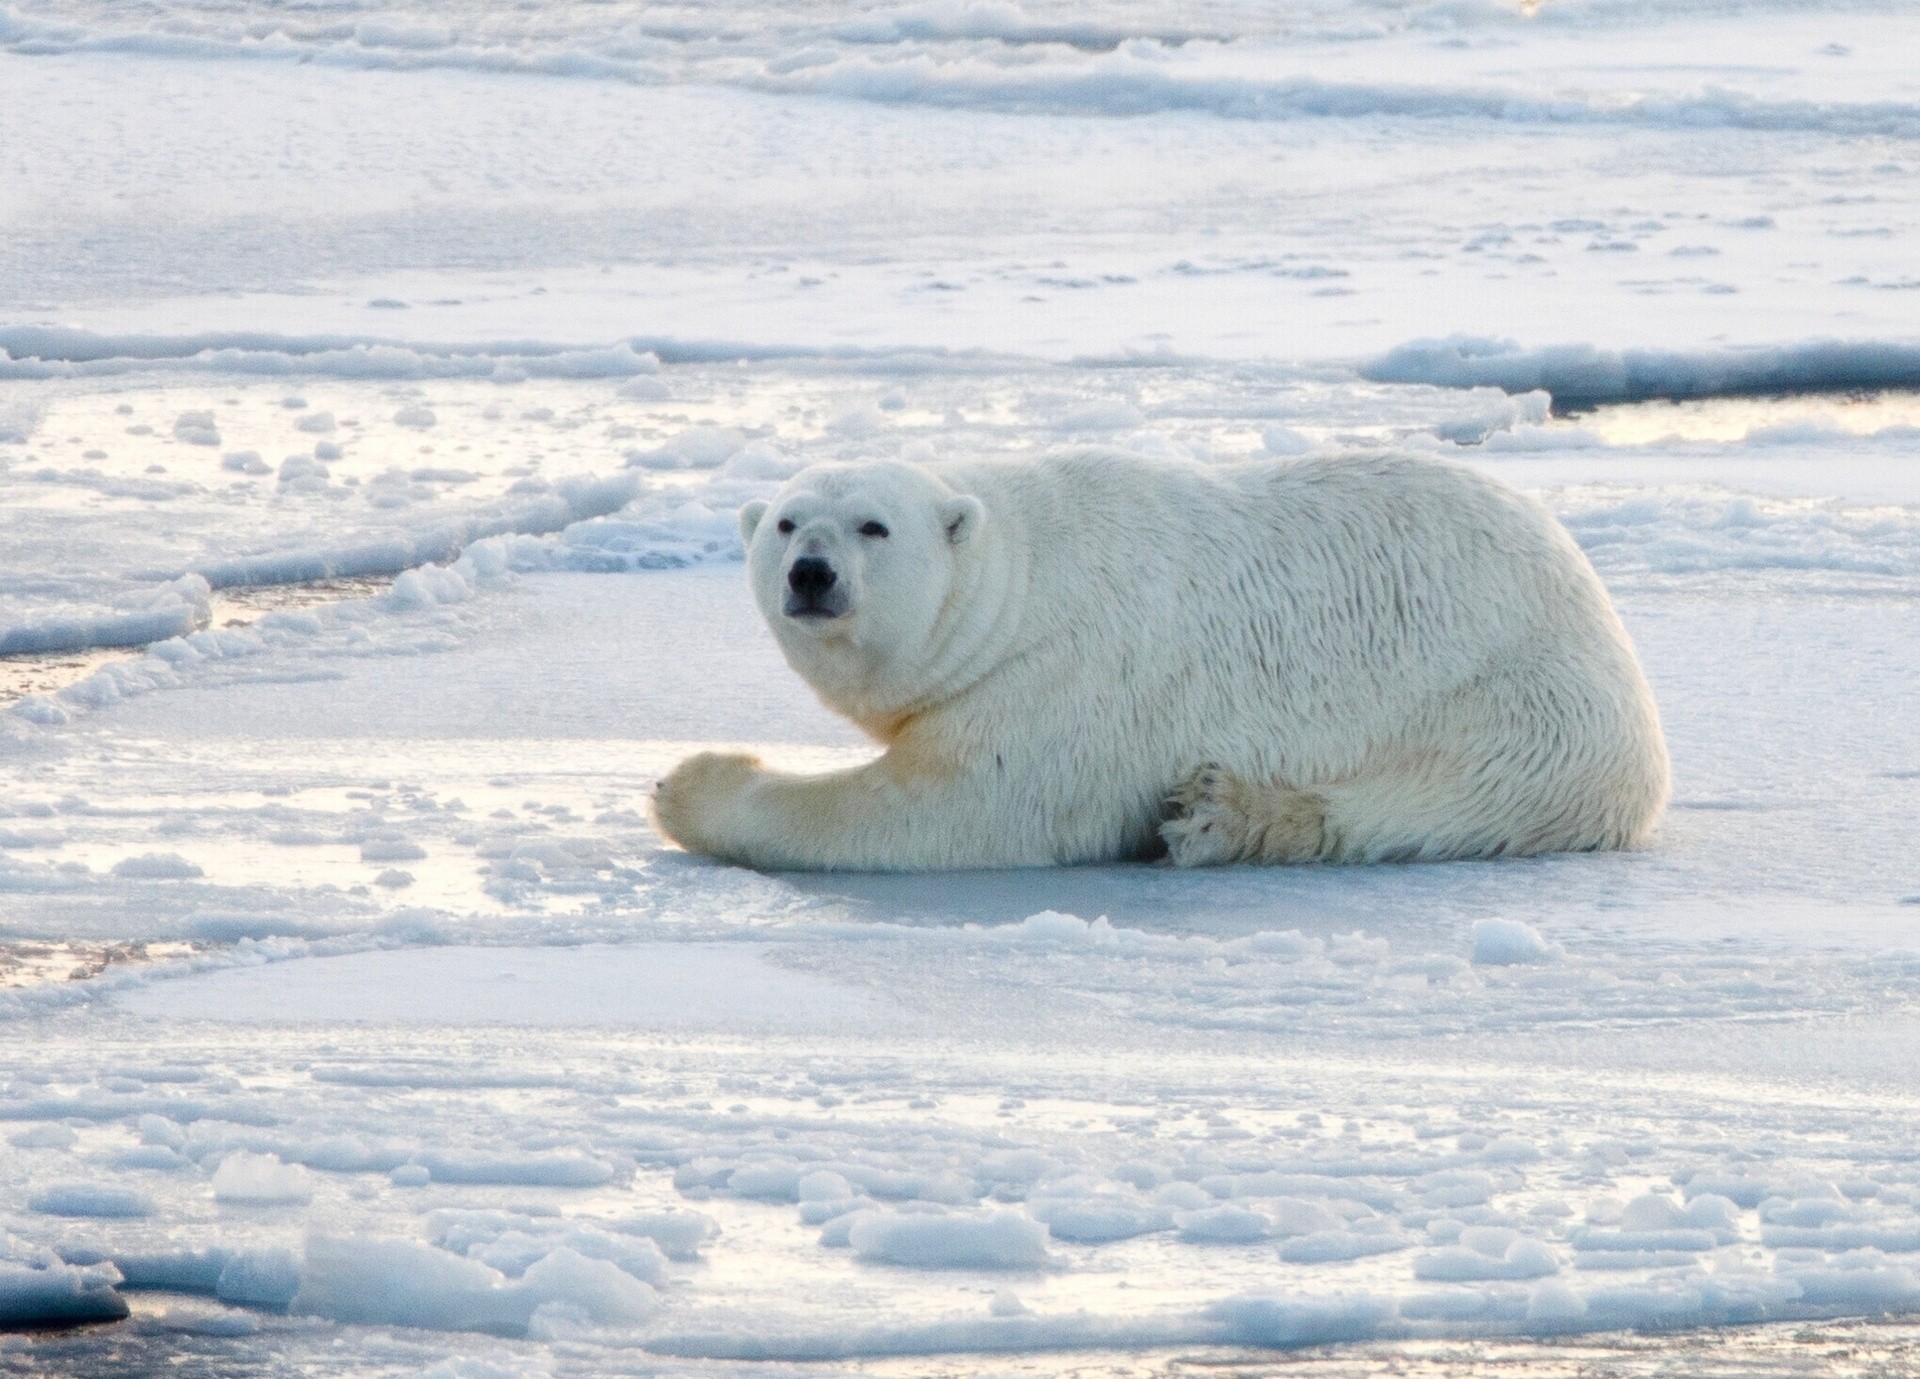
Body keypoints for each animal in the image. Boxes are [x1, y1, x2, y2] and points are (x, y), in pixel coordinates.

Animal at [650, 450, 1669, 871]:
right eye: (787, 521)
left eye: (873, 524)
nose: (811, 573)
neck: (1025, 577)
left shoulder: (1064, 682)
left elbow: (947, 809)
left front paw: (688, 782)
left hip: (1518, 699)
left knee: (1442, 796)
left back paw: (1223, 815)